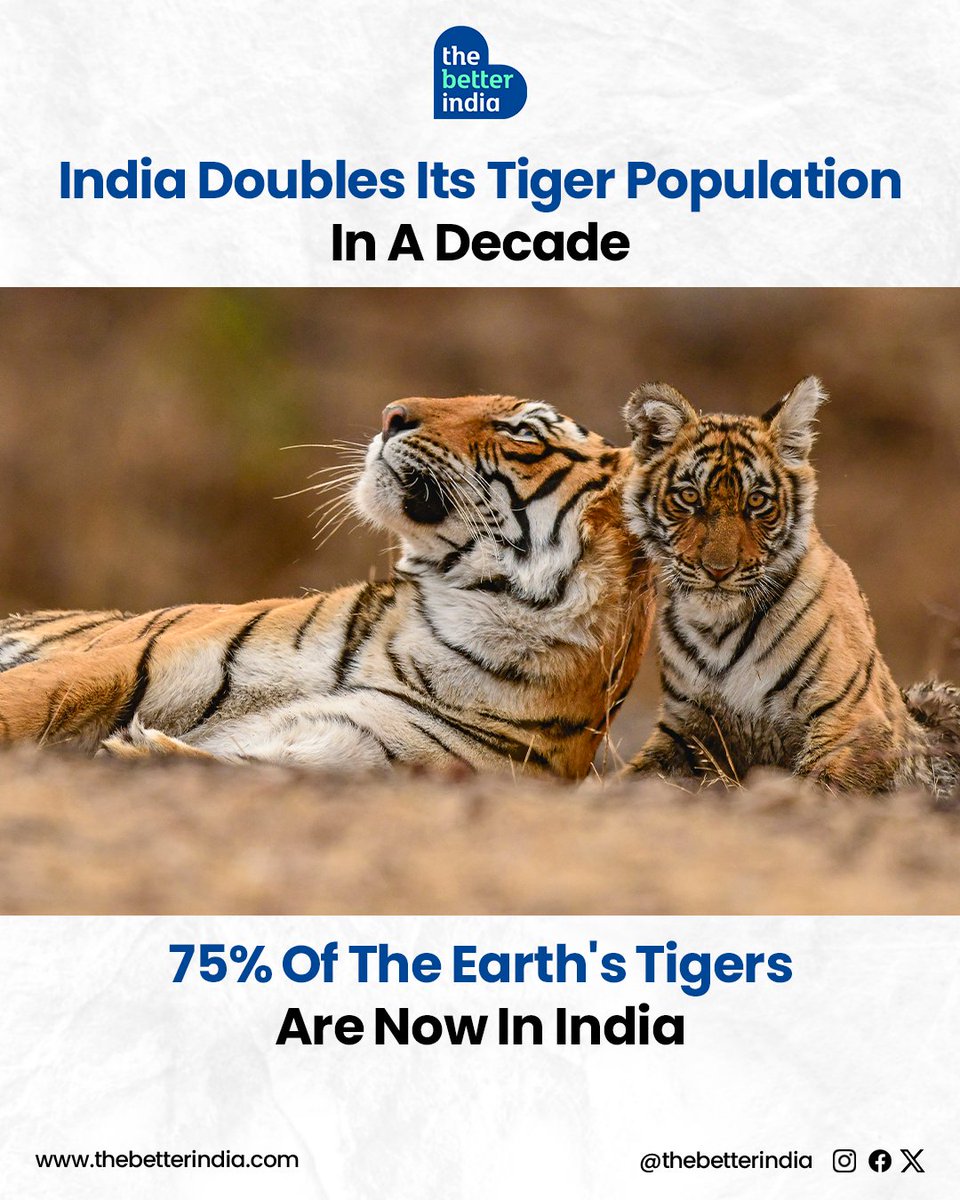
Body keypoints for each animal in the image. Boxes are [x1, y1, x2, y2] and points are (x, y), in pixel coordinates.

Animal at [0, 395, 655, 778]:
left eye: (521, 432)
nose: (391, 415)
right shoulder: (134, 661)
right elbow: (24, 699)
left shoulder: (350, 748)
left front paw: (143, 750)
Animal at [621, 375, 960, 797]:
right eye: (689, 497)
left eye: (757, 501)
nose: (718, 570)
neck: (717, 628)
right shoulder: (685, 726)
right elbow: (632, 775)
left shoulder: (853, 720)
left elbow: (818, 784)